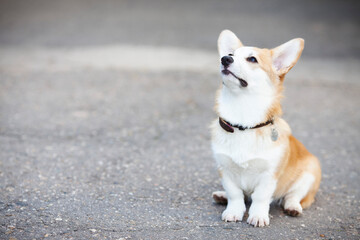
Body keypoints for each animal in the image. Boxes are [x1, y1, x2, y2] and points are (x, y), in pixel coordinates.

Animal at [211, 29, 320, 227]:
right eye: (231, 54)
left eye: (252, 59)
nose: (224, 59)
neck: (243, 121)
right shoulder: (226, 170)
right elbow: (235, 194)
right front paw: (233, 211)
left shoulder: (269, 175)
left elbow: (260, 197)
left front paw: (258, 216)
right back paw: (221, 196)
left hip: (309, 175)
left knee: (293, 196)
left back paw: (292, 207)